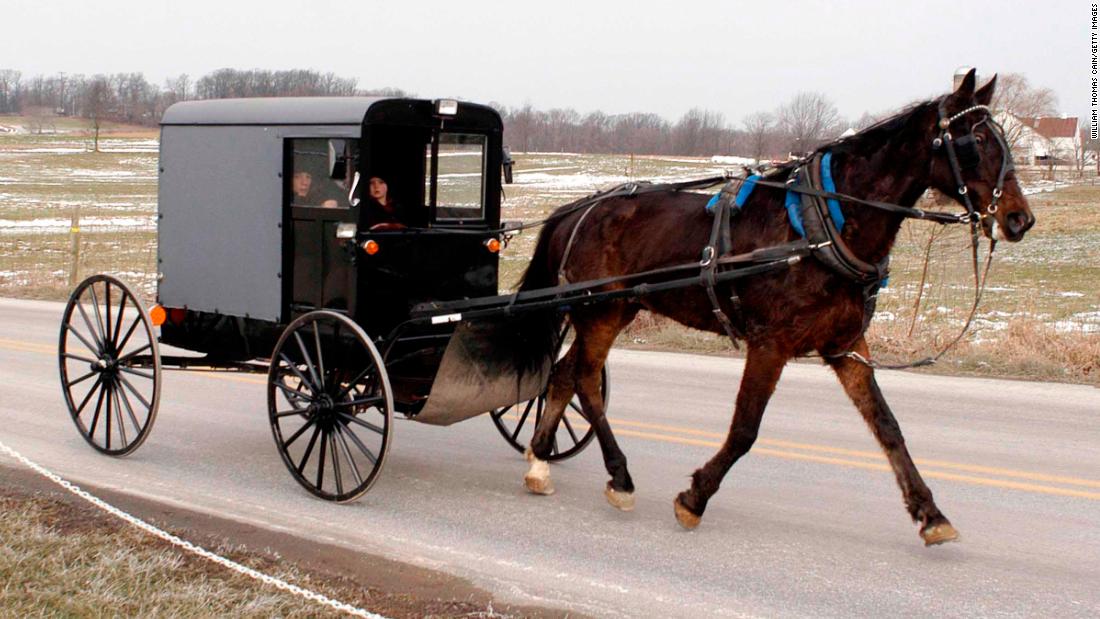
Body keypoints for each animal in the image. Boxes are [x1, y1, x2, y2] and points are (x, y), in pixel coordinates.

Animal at [512, 66, 1029, 547]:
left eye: (1003, 139)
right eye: (977, 140)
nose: (1019, 219)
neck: (824, 226)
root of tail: (576, 210)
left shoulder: (845, 345)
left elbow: (887, 425)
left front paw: (930, 513)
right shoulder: (770, 343)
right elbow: (745, 428)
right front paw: (694, 498)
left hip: (615, 310)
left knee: (563, 375)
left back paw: (539, 460)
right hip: (599, 312)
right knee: (586, 381)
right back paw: (619, 476)